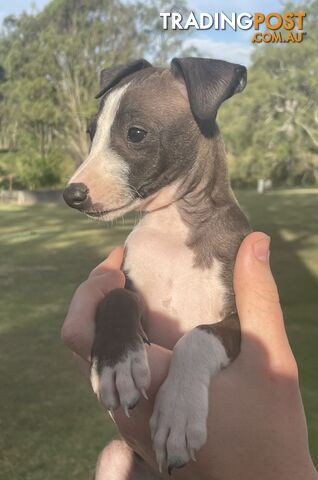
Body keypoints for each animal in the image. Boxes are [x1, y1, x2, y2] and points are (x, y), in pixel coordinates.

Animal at [62, 57, 251, 476]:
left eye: (135, 133)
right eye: (91, 132)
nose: (71, 194)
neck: (173, 230)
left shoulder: (239, 324)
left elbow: (198, 335)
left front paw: (177, 415)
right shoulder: (131, 284)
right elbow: (116, 296)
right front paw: (117, 364)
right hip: (116, 455)